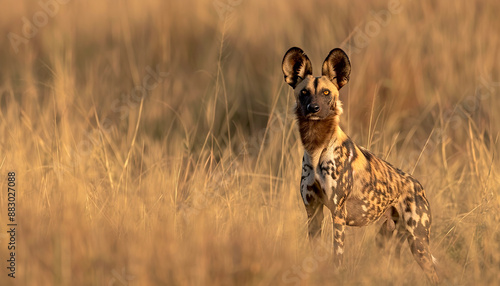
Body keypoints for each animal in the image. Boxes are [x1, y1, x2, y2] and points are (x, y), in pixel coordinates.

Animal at [284, 47, 440, 284]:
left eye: (326, 93)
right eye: (304, 92)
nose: (314, 108)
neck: (316, 148)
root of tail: (417, 185)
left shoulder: (337, 215)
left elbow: (337, 257)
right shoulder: (313, 211)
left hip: (419, 244)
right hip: (386, 241)